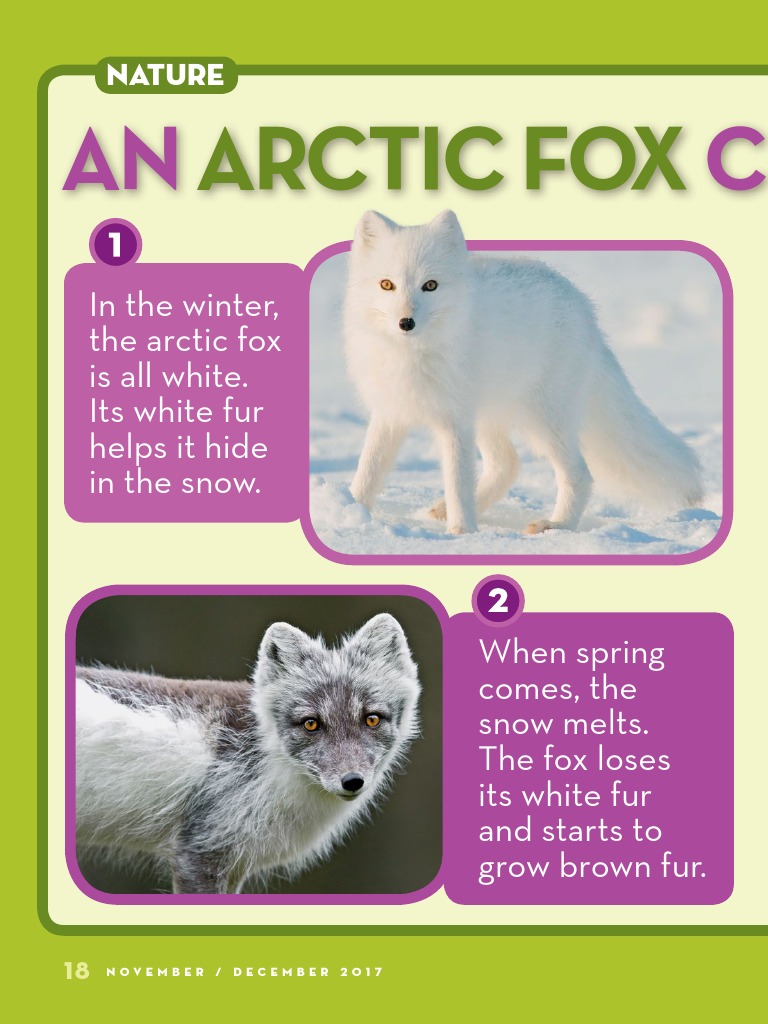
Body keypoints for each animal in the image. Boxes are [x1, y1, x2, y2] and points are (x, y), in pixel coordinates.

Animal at [345, 209, 703, 535]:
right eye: (387, 285)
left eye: (430, 285)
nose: (406, 322)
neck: (411, 355)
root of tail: (586, 312)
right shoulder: (390, 412)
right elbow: (368, 472)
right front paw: (350, 513)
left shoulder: (455, 420)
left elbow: (458, 481)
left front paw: (461, 533)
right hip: (492, 413)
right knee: (508, 464)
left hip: (544, 420)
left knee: (579, 474)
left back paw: (556, 525)